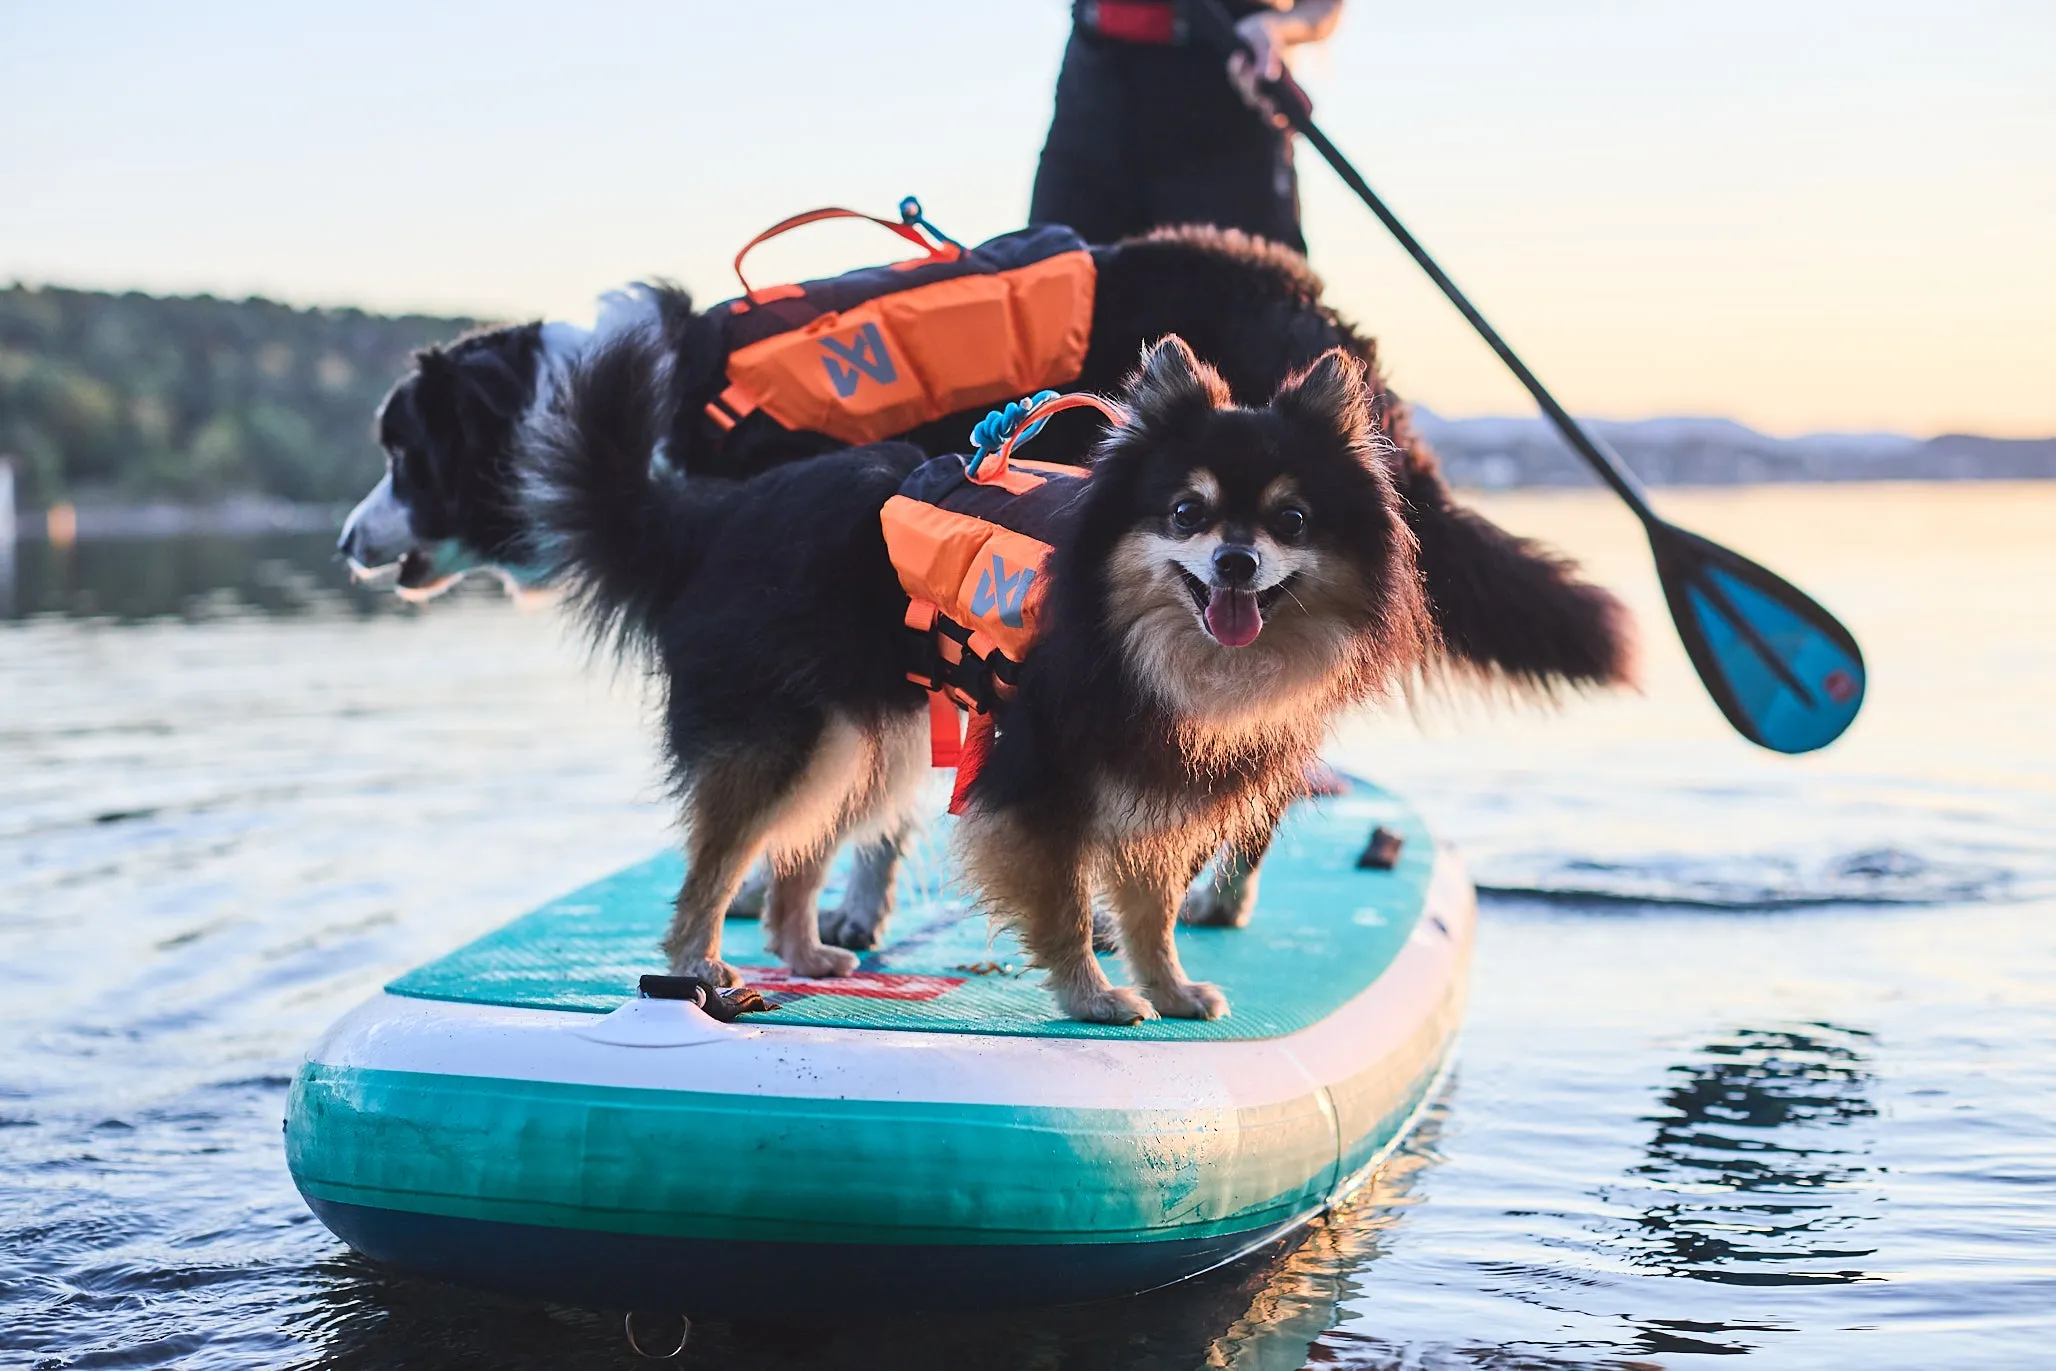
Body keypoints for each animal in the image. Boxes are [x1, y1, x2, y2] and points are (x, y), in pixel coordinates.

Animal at [526, 328, 1430, 1019]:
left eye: (1292, 520)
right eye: (1186, 512)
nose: (1236, 562)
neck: (1149, 646)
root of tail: (718, 516)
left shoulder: (1155, 779)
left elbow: (1153, 910)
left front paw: (1170, 989)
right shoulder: (1041, 777)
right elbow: (1067, 904)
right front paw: (1092, 997)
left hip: (863, 747)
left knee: (803, 848)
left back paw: (804, 950)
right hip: (791, 740)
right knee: (716, 860)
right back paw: (697, 964)